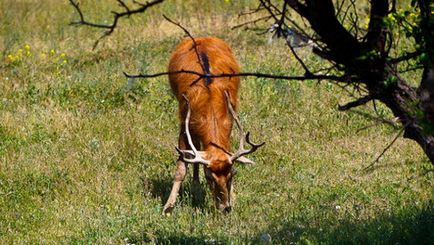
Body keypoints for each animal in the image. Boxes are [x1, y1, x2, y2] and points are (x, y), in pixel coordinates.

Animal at [163, 36, 262, 214]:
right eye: (209, 176)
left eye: (232, 173)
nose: (225, 207)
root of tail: (200, 38)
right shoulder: (184, 122)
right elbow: (181, 167)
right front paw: (168, 207)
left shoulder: (229, 123)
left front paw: (234, 197)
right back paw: (195, 184)